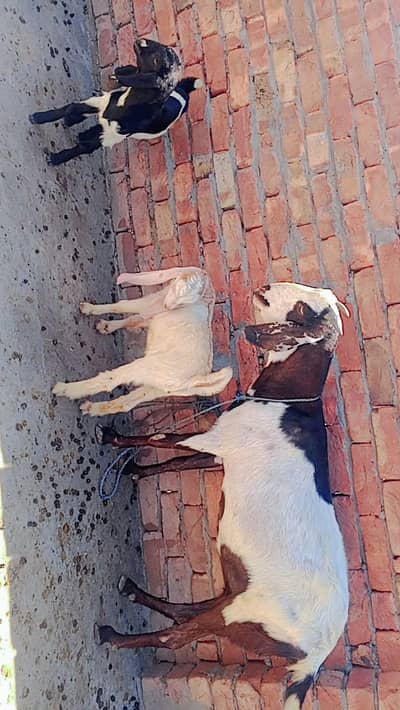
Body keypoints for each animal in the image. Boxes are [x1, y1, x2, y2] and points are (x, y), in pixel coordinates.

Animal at [28, 39, 200, 165]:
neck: (125, 104)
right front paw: (38, 117)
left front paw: (56, 159)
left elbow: (83, 148)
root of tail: (184, 90)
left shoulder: (109, 137)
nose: (141, 41)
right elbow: (70, 108)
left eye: (156, 60)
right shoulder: (101, 103)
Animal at [52, 266, 233, 417]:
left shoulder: (150, 302)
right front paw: (107, 326)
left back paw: (64, 389)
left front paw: (90, 309)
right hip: (161, 389)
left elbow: (123, 306)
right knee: (127, 403)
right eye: (180, 290)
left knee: (109, 380)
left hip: (145, 367)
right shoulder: (154, 310)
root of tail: (199, 377)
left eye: (186, 298)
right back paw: (91, 409)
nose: (167, 307)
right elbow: (134, 320)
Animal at [94, 282, 350, 710]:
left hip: (245, 613)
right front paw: (135, 470)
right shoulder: (218, 455)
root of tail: (312, 661)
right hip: (237, 595)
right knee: (187, 612)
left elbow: (162, 438)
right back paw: (131, 591)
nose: (265, 287)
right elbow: (177, 462)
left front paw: (112, 437)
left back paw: (111, 636)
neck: (287, 402)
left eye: (302, 308)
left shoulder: (215, 440)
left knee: (174, 635)